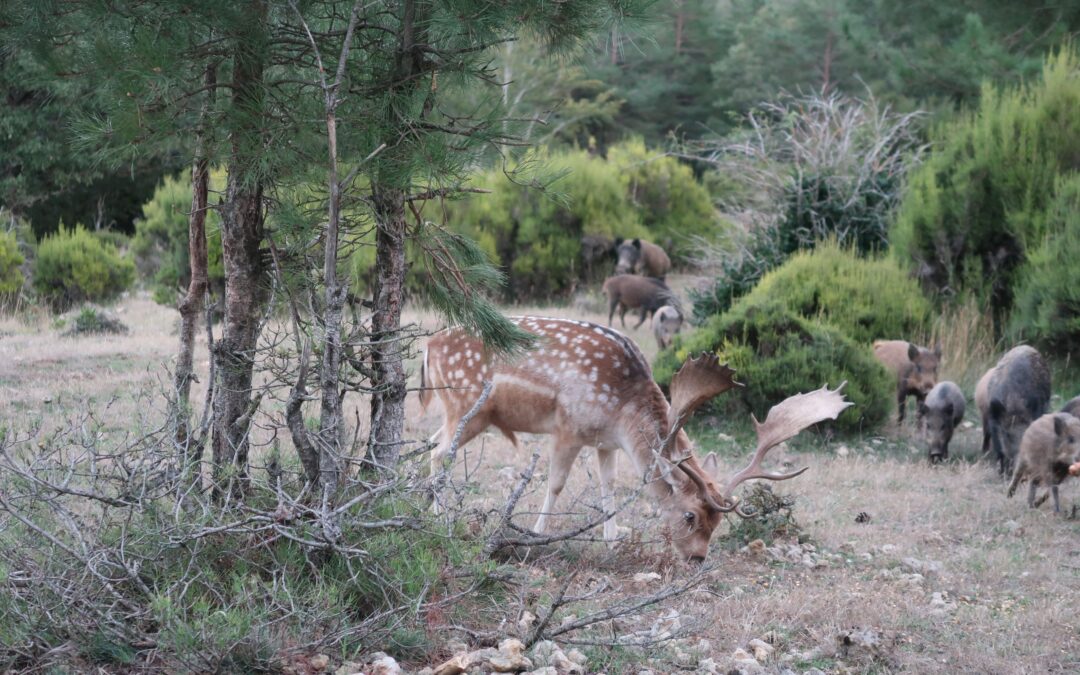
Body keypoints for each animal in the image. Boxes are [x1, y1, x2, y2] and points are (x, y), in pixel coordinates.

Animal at [421, 317, 851, 561]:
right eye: (690, 515)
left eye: (718, 522)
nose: (697, 558)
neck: (621, 410)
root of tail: (428, 345)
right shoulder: (567, 428)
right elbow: (556, 484)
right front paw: (537, 536)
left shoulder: (605, 442)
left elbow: (609, 486)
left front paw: (611, 543)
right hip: (466, 405)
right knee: (441, 453)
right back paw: (440, 518)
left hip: (459, 412)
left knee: (430, 445)